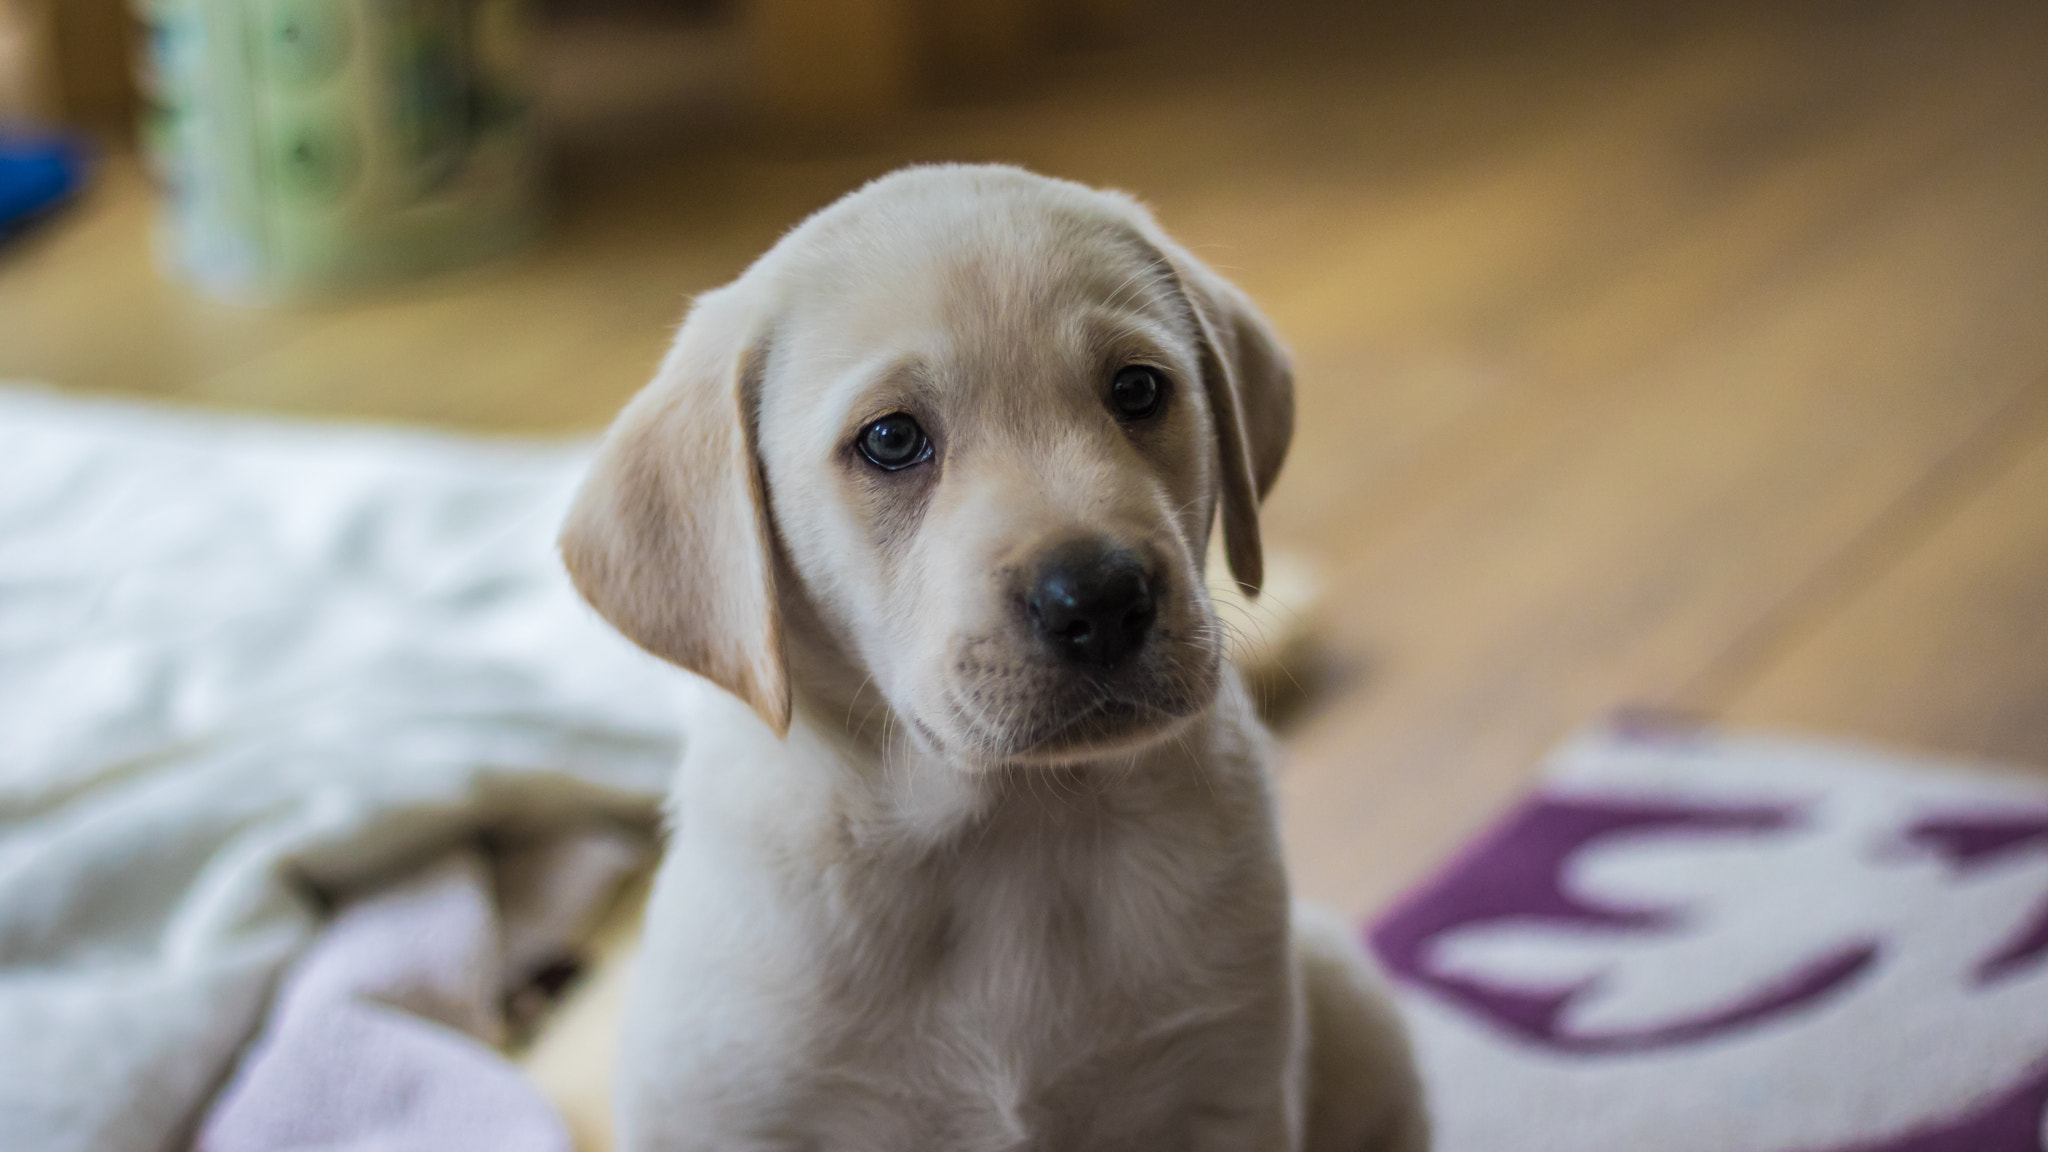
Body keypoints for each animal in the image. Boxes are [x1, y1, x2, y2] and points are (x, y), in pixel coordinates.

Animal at [561, 163, 1425, 1147]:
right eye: (892, 439)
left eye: (1138, 390)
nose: (1100, 600)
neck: (1010, 833)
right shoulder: (719, 1111)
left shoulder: (1226, 1084)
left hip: (1349, 992)